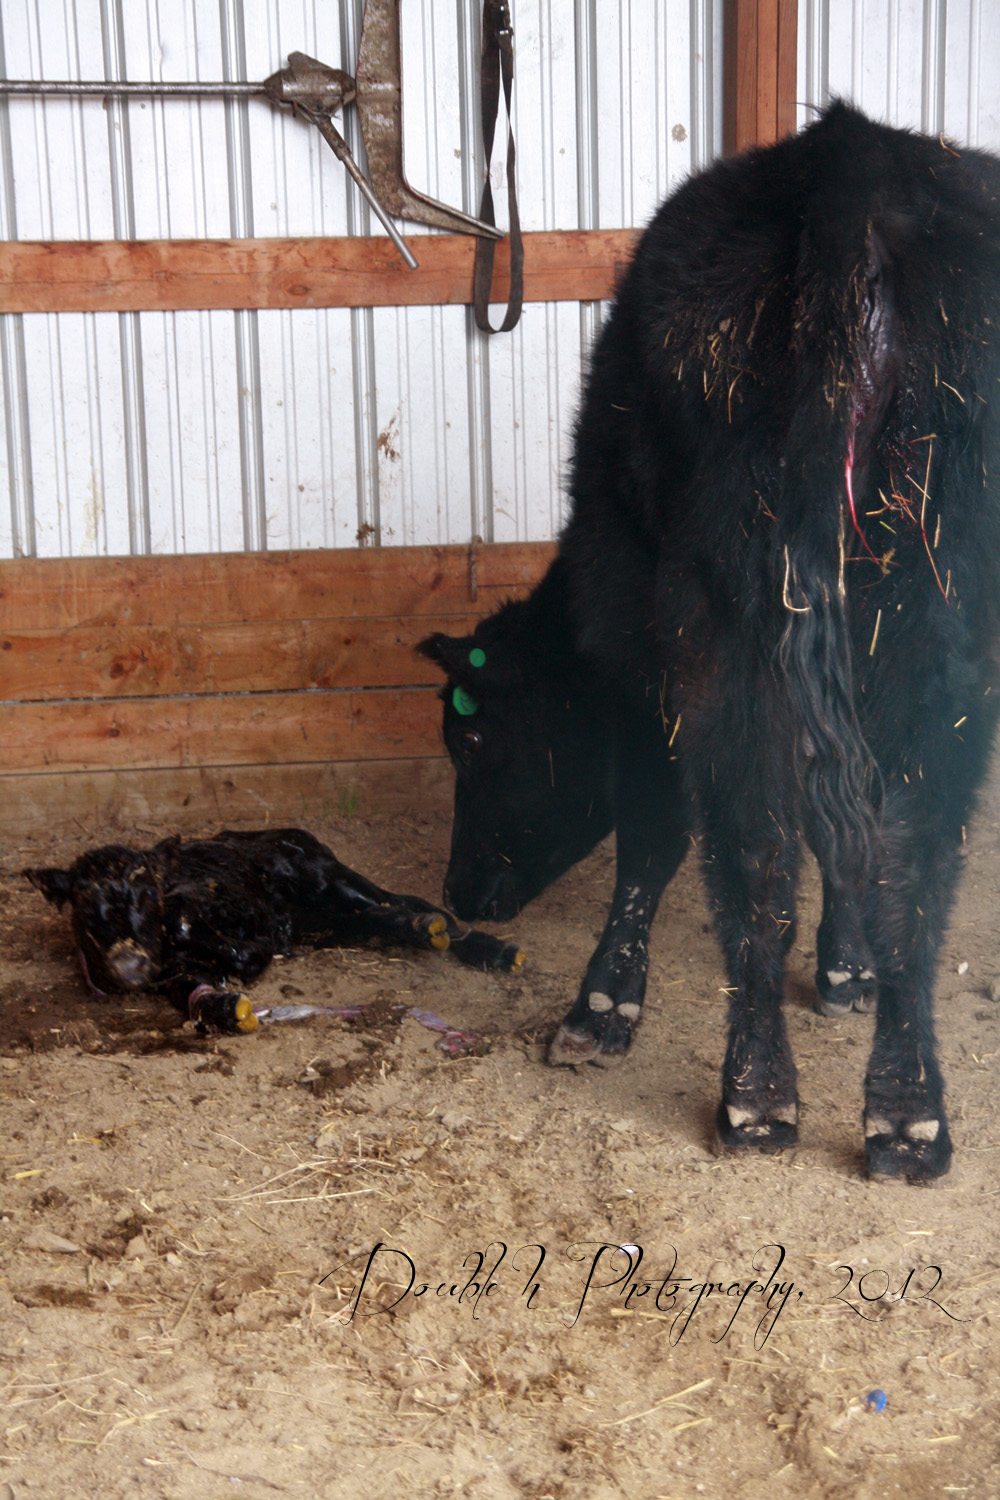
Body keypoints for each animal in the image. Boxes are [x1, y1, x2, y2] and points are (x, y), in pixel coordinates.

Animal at [25, 828, 524, 1032]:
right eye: (85, 905)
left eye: (149, 894)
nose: (130, 965)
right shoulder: (170, 977)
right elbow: (193, 992)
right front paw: (227, 1009)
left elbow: (237, 946)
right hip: (329, 925)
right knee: (379, 918)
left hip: (329, 878)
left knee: (399, 905)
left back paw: (476, 944)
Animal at [420, 102, 1000, 1182]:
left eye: (471, 739)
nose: (461, 891)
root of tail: (851, 158)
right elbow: (836, 824)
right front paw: (844, 967)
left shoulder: (633, 639)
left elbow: (653, 833)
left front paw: (606, 1003)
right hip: (931, 631)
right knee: (897, 851)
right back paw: (897, 1111)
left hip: (729, 627)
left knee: (761, 845)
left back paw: (769, 1096)